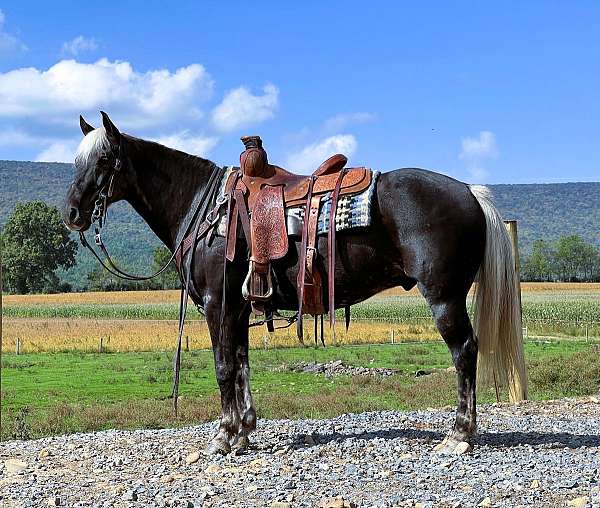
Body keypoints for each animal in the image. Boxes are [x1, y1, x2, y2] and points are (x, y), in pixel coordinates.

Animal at [63, 113, 528, 454]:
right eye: (76, 162)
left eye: (103, 160)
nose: (72, 213)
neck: (205, 206)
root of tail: (469, 191)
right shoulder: (239, 306)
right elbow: (242, 364)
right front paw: (244, 430)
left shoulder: (217, 303)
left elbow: (223, 366)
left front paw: (223, 436)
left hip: (445, 296)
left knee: (464, 352)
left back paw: (459, 434)